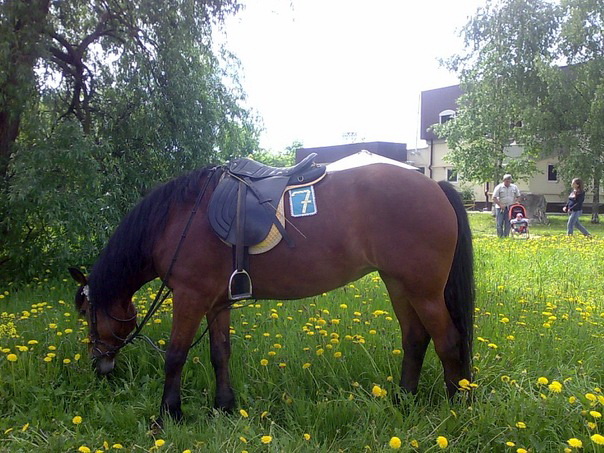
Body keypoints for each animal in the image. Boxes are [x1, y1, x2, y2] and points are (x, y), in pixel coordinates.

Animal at [69, 161, 474, 422]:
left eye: (88, 314)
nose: (98, 365)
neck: (177, 218)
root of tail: (435, 186)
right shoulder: (216, 302)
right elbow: (220, 353)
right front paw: (224, 407)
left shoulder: (190, 297)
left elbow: (175, 356)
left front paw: (169, 414)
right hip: (399, 284)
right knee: (415, 339)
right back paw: (404, 399)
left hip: (424, 291)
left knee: (448, 341)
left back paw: (458, 404)